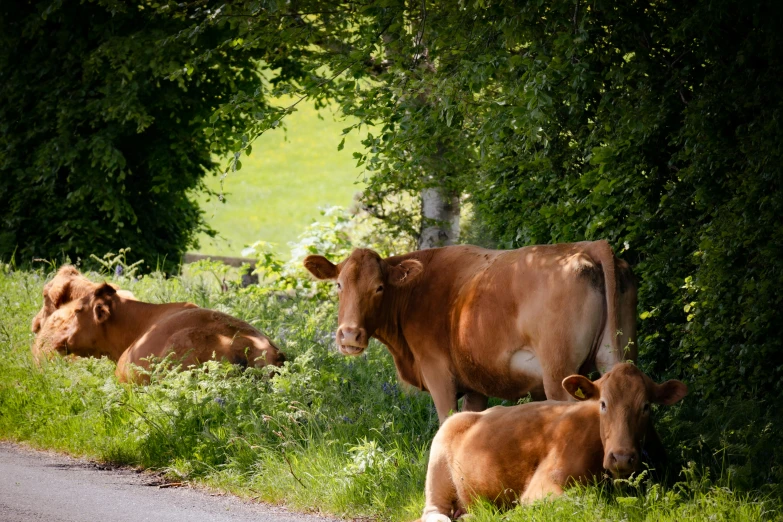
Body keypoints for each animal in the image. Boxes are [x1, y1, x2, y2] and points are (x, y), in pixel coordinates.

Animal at [304, 240, 640, 422]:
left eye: (379, 287)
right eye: (338, 285)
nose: (349, 335)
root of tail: (588, 246)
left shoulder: (437, 373)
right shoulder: (476, 381)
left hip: (558, 373)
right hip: (617, 355)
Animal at [416, 362, 688, 520]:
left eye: (646, 406)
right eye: (603, 404)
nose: (621, 457)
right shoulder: (543, 485)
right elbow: (580, 499)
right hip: (437, 471)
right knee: (435, 513)